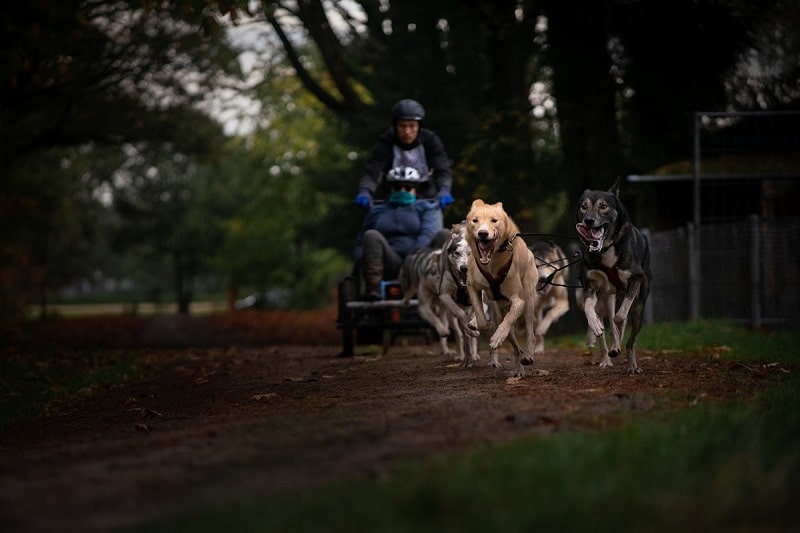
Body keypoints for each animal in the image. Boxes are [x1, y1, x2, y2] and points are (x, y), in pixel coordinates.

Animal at [460, 197, 540, 376]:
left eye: (494, 220)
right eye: (475, 221)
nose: (483, 233)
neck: (492, 264)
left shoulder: (518, 300)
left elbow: (509, 319)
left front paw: (497, 337)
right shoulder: (472, 287)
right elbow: (481, 318)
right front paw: (485, 325)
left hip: (528, 302)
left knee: (529, 334)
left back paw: (528, 356)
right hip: (499, 311)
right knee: (515, 345)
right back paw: (519, 366)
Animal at [580, 177, 652, 372]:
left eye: (603, 206)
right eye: (583, 207)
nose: (589, 221)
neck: (606, 248)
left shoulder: (635, 279)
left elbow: (619, 318)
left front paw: (618, 335)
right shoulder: (592, 285)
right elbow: (589, 309)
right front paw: (596, 325)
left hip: (639, 309)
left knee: (630, 338)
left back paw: (631, 364)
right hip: (607, 296)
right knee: (609, 323)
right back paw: (609, 353)